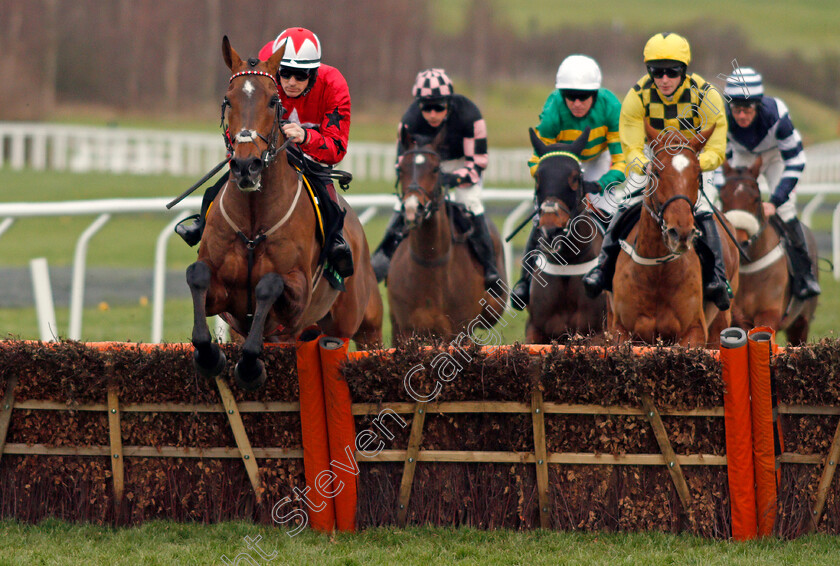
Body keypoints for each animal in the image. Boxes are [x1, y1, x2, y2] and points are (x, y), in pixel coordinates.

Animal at [186, 35, 380, 390]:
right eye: (228, 100)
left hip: (357, 323)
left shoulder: (296, 298)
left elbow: (269, 284)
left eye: (272, 101)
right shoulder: (225, 300)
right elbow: (198, 275)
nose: (246, 166)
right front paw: (208, 357)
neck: (253, 221)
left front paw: (250, 366)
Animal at [386, 127, 508, 344]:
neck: (430, 262)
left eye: (436, 169)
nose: (413, 208)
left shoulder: (457, 332)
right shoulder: (404, 330)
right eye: (401, 169)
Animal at [524, 127, 604, 344]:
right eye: (538, 178)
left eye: (575, 177)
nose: (551, 231)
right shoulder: (535, 330)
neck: (567, 263)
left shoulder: (598, 333)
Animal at [608, 124, 740, 348]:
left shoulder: (694, 331)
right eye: (657, 173)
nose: (680, 233)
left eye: (698, 175)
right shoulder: (620, 330)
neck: (656, 273)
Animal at [720, 160, 816, 346]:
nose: (739, 243)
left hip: (802, 321)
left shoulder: (769, 313)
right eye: (722, 198)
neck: (749, 266)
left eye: (756, 198)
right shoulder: (738, 317)